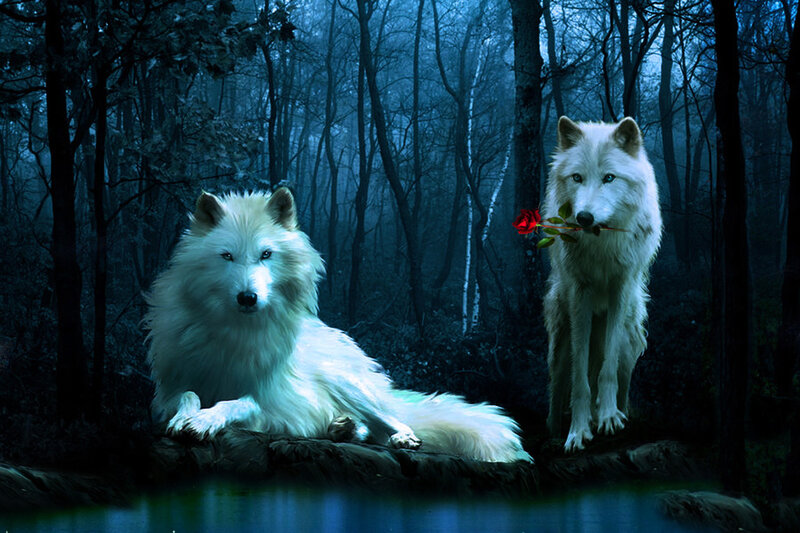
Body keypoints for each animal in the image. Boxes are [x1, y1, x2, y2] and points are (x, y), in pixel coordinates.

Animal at [145, 188, 531, 463]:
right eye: (227, 256)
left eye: (266, 254)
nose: (247, 298)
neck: (234, 331)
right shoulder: (170, 388)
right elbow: (189, 395)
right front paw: (187, 417)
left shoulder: (269, 401)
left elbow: (237, 403)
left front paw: (204, 420)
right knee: (363, 429)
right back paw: (341, 428)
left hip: (347, 384)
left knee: (388, 420)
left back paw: (397, 435)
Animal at [543, 116, 662, 453]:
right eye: (577, 178)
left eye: (609, 178)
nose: (584, 217)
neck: (602, 242)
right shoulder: (579, 295)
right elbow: (580, 379)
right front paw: (577, 431)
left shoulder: (619, 289)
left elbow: (606, 371)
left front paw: (608, 418)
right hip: (560, 339)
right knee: (557, 387)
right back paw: (554, 434)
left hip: (630, 341)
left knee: (619, 376)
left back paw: (617, 417)